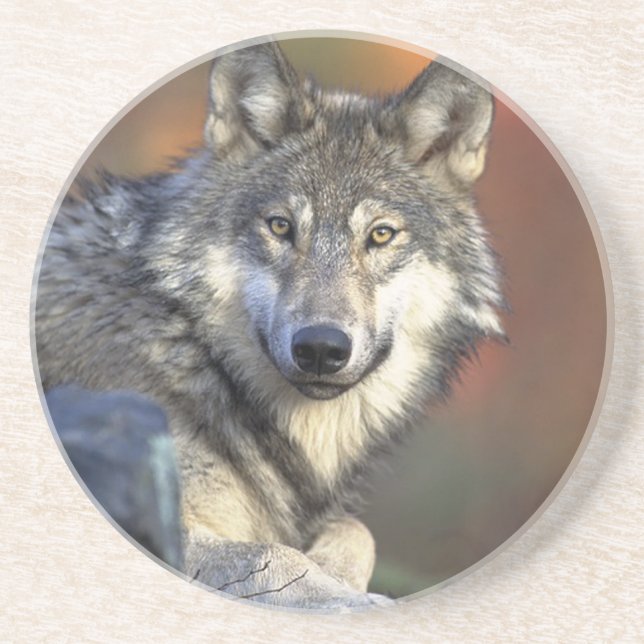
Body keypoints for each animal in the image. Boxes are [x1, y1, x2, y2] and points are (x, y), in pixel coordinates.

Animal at [35, 41, 504, 609]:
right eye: (281, 227)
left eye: (381, 235)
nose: (321, 348)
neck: (191, 349)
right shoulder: (166, 515)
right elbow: (276, 556)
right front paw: (351, 600)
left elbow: (356, 531)